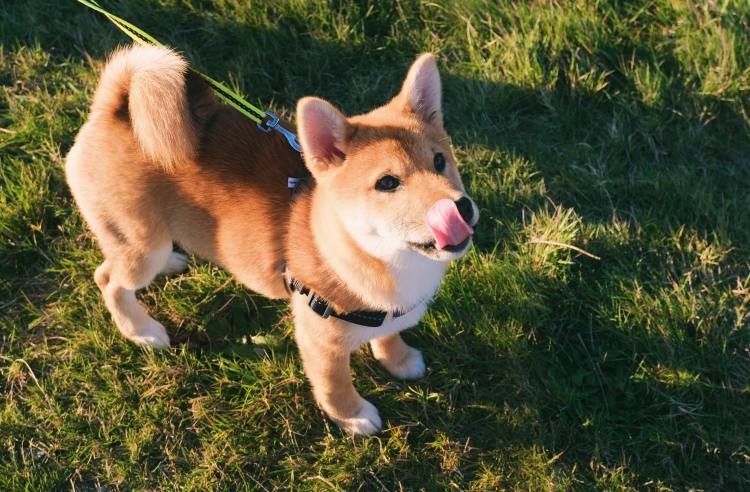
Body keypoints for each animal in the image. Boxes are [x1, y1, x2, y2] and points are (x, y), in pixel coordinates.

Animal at [69, 44, 482, 432]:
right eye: (387, 183)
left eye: (440, 161)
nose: (459, 208)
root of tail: (114, 111)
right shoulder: (321, 342)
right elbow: (334, 384)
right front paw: (352, 416)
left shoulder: (390, 313)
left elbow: (389, 335)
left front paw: (399, 359)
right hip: (139, 244)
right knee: (109, 279)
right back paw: (141, 330)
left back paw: (171, 261)